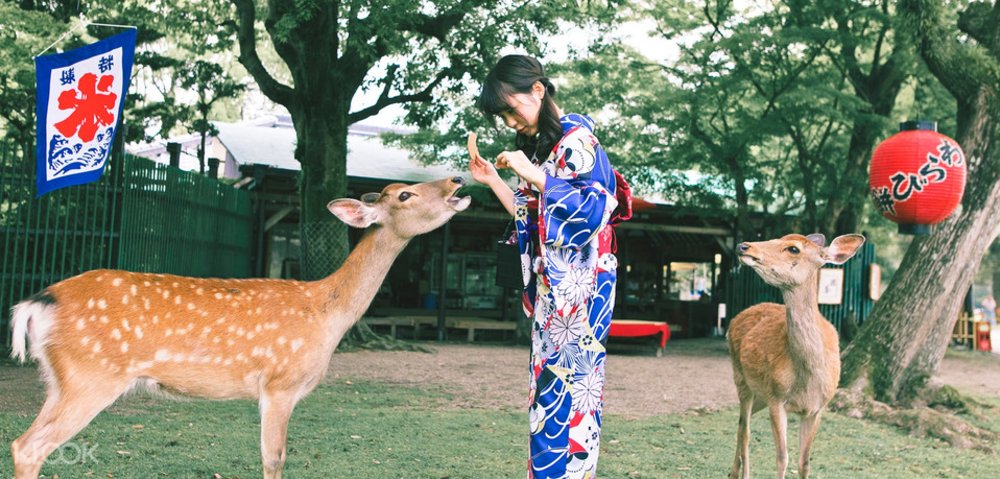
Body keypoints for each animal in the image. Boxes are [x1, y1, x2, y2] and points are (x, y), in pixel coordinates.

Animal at [8, 176, 471, 479]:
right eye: (405, 194)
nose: (457, 178)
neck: (327, 314)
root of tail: (36, 303)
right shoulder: (280, 382)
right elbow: (274, 457)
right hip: (91, 376)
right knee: (32, 447)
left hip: (60, 380)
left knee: (21, 442)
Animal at [727, 233, 865, 479]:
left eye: (793, 248)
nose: (743, 246)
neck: (807, 379)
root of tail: (735, 318)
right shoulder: (776, 398)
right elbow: (783, 458)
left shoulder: (817, 408)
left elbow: (804, 462)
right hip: (741, 379)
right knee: (745, 429)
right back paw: (741, 473)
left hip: (759, 394)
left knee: (742, 424)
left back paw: (733, 471)